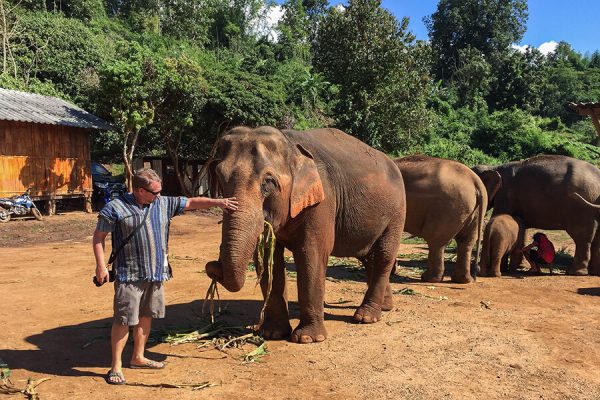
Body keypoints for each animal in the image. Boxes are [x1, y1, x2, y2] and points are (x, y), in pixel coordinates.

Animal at [204, 126, 406, 344]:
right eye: (219, 177)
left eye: (268, 182)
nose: (212, 267)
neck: (290, 143)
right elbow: (269, 260)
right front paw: (272, 334)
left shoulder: (323, 200)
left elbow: (312, 253)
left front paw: (308, 339)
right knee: (369, 257)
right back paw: (384, 307)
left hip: (397, 213)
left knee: (384, 256)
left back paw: (366, 317)